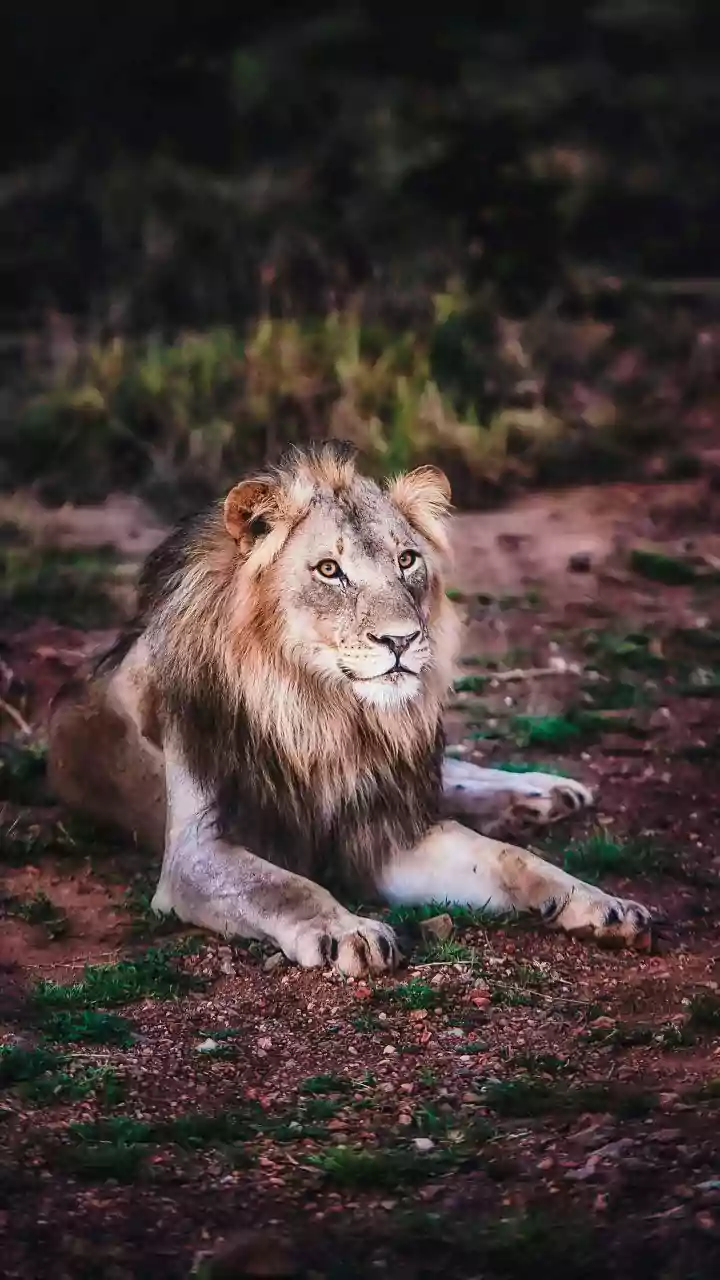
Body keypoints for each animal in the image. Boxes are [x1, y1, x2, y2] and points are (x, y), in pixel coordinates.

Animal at [47, 441, 652, 976]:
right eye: (329, 570)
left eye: (407, 560)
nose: (401, 640)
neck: (327, 715)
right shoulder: (197, 854)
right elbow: (288, 887)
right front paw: (350, 931)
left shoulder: (389, 832)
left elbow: (512, 859)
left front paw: (601, 903)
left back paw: (544, 792)